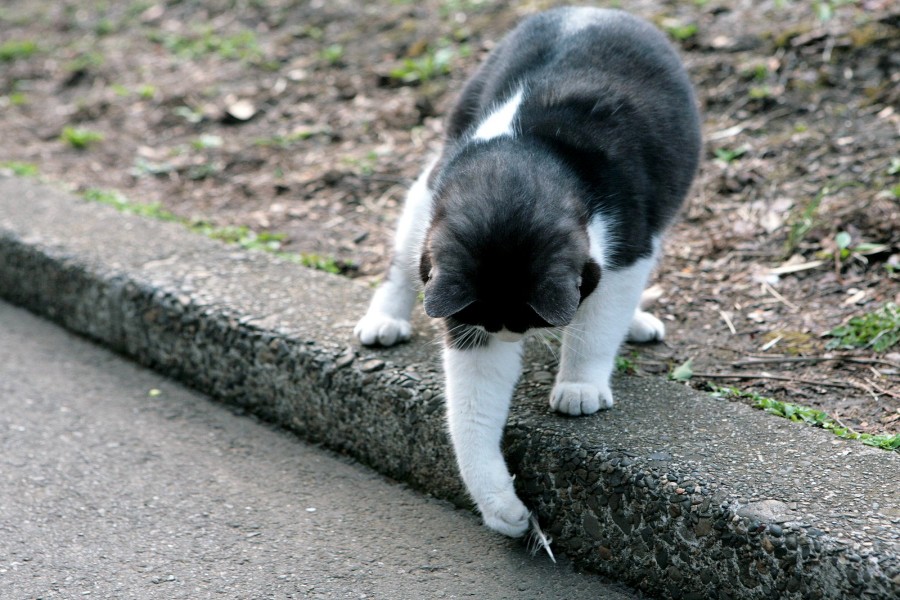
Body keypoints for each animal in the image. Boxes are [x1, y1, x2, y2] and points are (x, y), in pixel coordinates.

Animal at [356, 7, 700, 536]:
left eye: (525, 321)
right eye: (496, 324)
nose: (509, 338)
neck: (528, 151)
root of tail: (594, 10)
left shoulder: (627, 250)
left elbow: (598, 325)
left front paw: (579, 385)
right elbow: (473, 403)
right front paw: (500, 504)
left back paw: (636, 324)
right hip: (427, 189)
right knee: (402, 259)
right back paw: (385, 319)